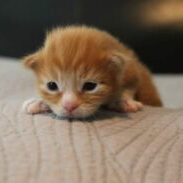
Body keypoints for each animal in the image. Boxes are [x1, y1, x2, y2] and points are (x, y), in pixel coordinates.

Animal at [22, 25, 162, 118]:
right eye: (52, 86)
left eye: (90, 86)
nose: (69, 106)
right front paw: (38, 102)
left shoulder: (131, 68)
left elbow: (131, 86)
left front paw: (124, 101)